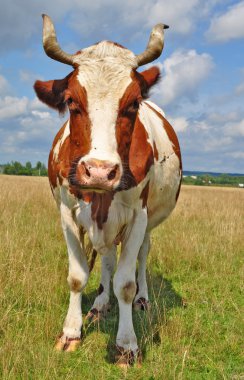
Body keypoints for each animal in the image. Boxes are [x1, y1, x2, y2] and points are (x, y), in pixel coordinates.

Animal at [33, 14, 181, 366]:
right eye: (71, 101)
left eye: (133, 104)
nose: (100, 171)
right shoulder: (67, 214)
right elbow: (78, 275)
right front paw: (71, 333)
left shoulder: (138, 217)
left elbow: (125, 283)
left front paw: (127, 345)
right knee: (107, 259)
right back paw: (99, 307)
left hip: (147, 224)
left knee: (141, 256)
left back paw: (142, 300)